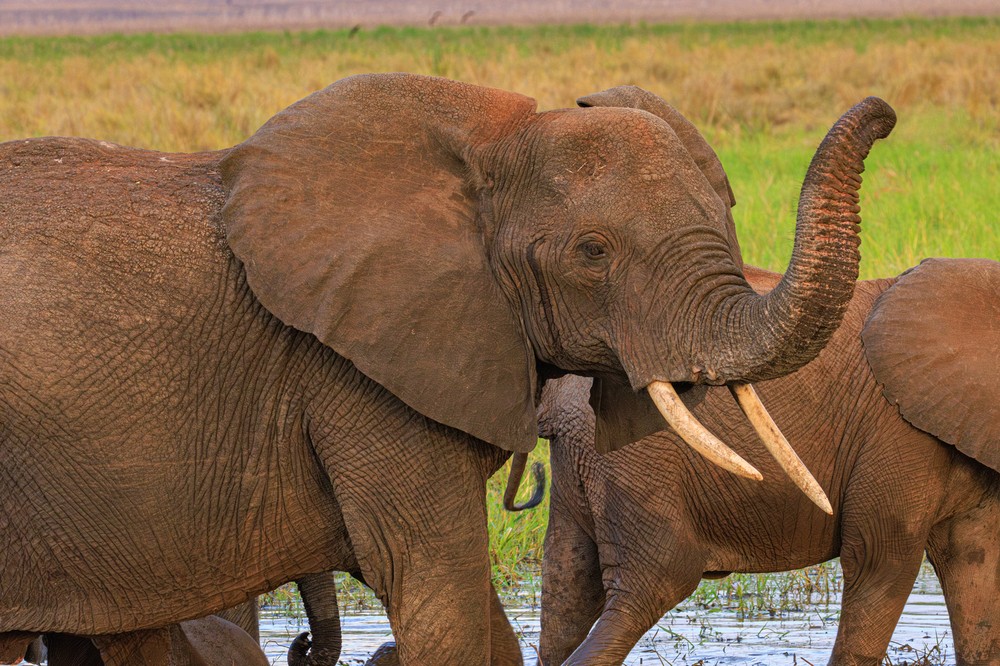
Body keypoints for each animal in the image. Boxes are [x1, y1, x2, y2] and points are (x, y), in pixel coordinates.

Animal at [528, 261, 1000, 665]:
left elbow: (977, 570)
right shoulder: (898, 436)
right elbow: (880, 560)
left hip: (583, 466)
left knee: (568, 593)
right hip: (637, 464)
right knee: (651, 587)